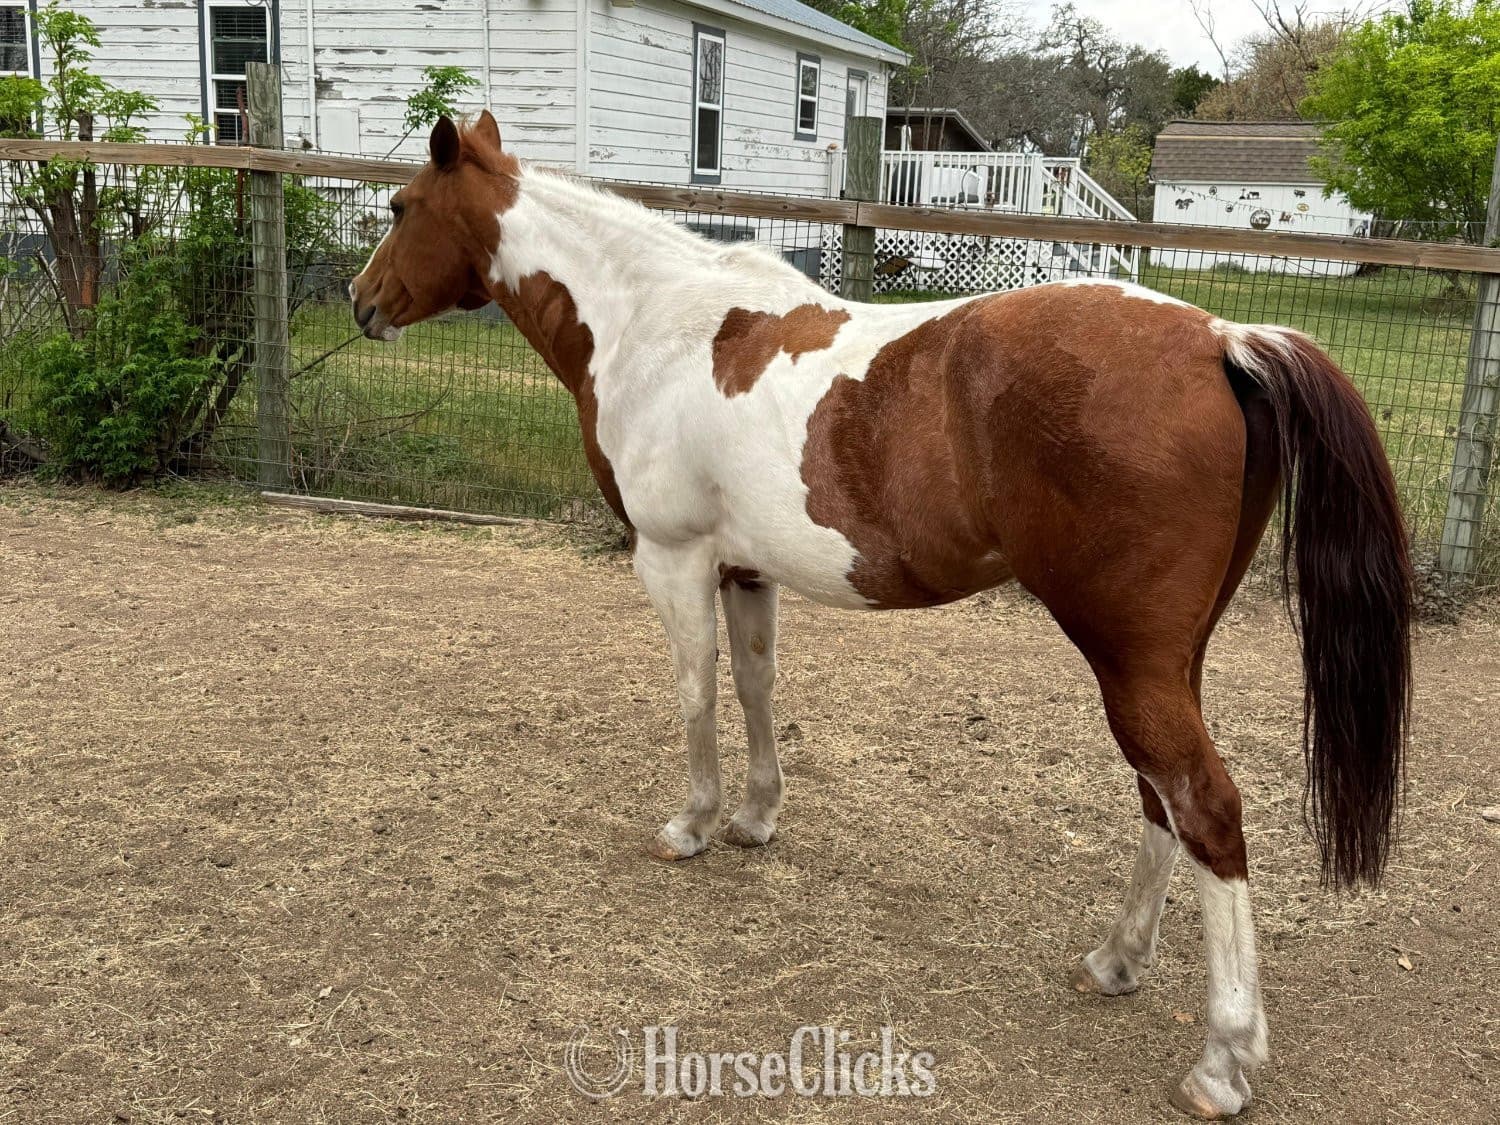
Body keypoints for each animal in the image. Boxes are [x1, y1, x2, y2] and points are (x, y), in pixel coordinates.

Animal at [350, 113, 1412, 1118]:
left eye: (401, 207)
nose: (362, 302)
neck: (656, 322)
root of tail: (1222, 339)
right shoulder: (745, 571)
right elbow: (755, 686)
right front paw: (755, 815)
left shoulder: (673, 558)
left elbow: (695, 693)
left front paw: (692, 824)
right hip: (1163, 660)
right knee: (1163, 800)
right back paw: (1117, 961)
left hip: (1129, 658)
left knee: (1206, 809)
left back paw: (1221, 1061)